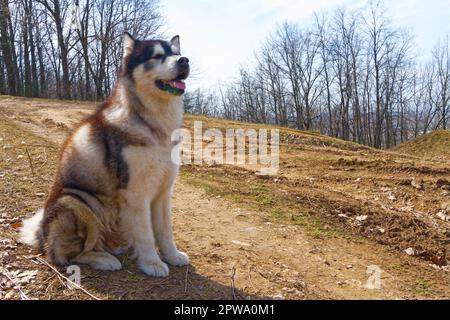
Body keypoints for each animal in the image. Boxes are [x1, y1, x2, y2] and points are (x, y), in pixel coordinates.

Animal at [19, 33, 190, 278]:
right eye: (156, 56)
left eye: (177, 53)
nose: (184, 61)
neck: (153, 122)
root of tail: (42, 234)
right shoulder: (136, 194)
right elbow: (146, 234)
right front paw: (152, 263)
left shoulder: (163, 193)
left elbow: (165, 231)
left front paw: (172, 256)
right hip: (76, 202)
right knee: (67, 255)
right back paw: (104, 259)